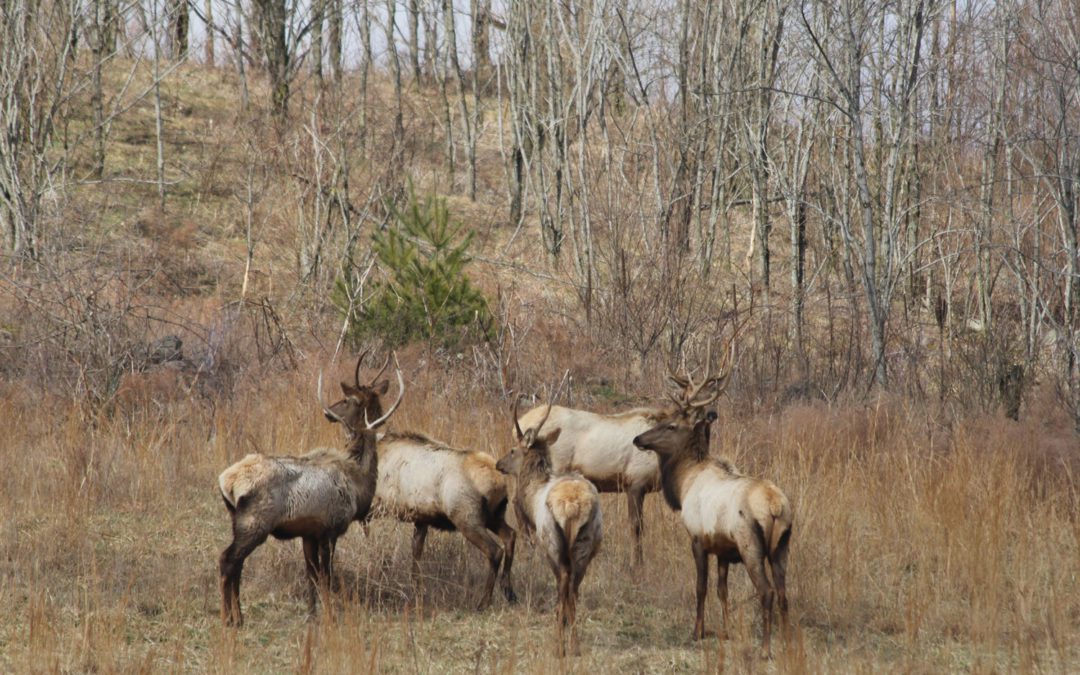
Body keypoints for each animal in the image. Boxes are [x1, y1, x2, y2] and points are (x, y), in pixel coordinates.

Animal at [321, 356, 516, 609]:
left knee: (494, 550)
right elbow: (416, 553)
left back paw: (483, 601)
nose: (328, 412)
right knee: (511, 536)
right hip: (496, 514)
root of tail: (499, 482)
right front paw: (416, 588)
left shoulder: (374, 507)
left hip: (466, 516)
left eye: (346, 399)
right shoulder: (421, 517)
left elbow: (371, 539)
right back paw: (510, 592)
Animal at [494, 397, 600, 656]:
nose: (499, 463)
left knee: (563, 583)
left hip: (552, 542)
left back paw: (559, 644)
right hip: (586, 544)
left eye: (513, 449)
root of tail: (572, 507)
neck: (532, 495)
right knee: (574, 588)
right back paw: (574, 643)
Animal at [511, 347, 725, 561]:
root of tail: (519, 424)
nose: (710, 414)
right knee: (519, 502)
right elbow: (636, 526)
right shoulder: (635, 481)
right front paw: (636, 563)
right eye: (688, 396)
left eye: (711, 393)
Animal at [630, 397, 794, 656]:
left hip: (750, 546)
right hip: (782, 547)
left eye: (671, 425)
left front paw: (697, 631)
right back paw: (787, 643)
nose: (638, 439)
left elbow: (701, 587)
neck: (684, 483)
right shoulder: (723, 549)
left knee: (766, 591)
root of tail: (775, 505)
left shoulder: (698, 540)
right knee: (783, 594)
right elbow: (722, 590)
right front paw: (726, 631)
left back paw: (765, 649)